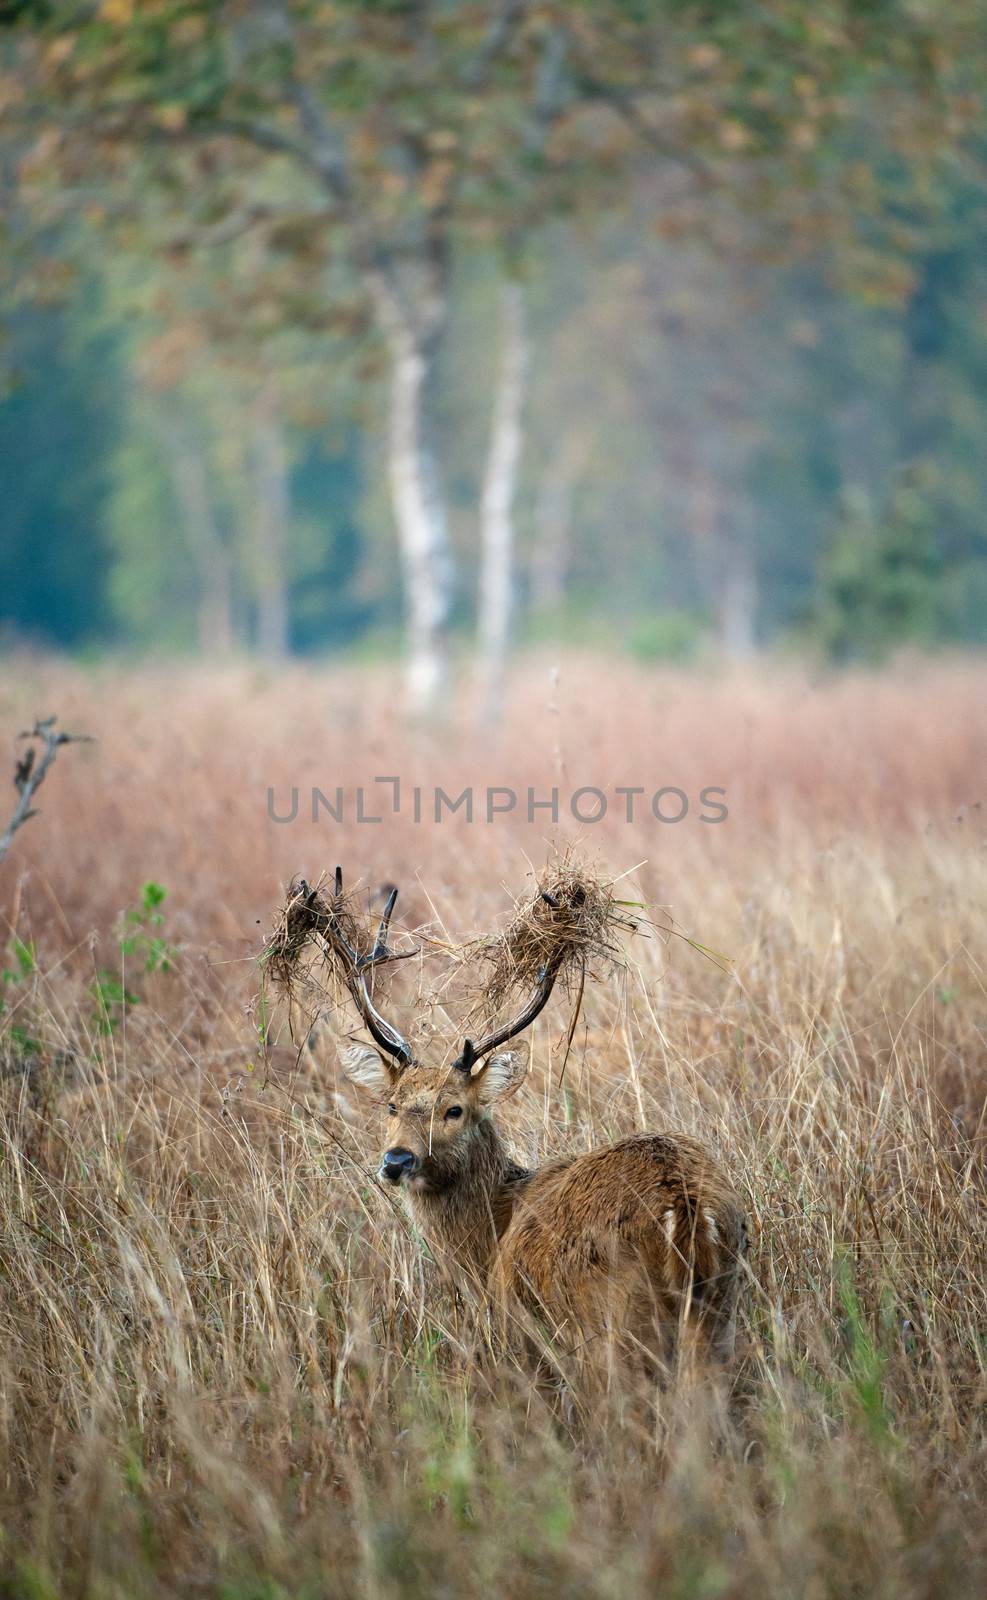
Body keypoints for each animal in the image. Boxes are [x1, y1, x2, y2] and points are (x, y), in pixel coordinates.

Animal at [315, 870, 745, 1369]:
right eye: (391, 1105)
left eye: (454, 1109)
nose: (397, 1161)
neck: (489, 1239)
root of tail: (687, 1209)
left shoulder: (519, 1330)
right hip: (718, 1312)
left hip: (612, 1322)